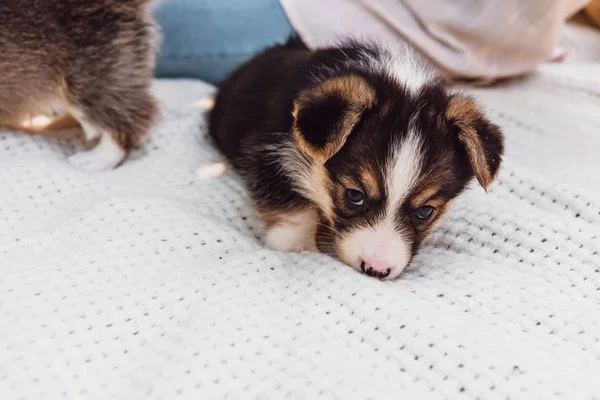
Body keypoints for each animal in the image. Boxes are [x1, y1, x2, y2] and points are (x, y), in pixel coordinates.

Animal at [209, 39, 504, 280]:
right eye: (354, 195)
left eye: (425, 211)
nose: (376, 270)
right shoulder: (268, 149)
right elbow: (290, 207)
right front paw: (295, 245)